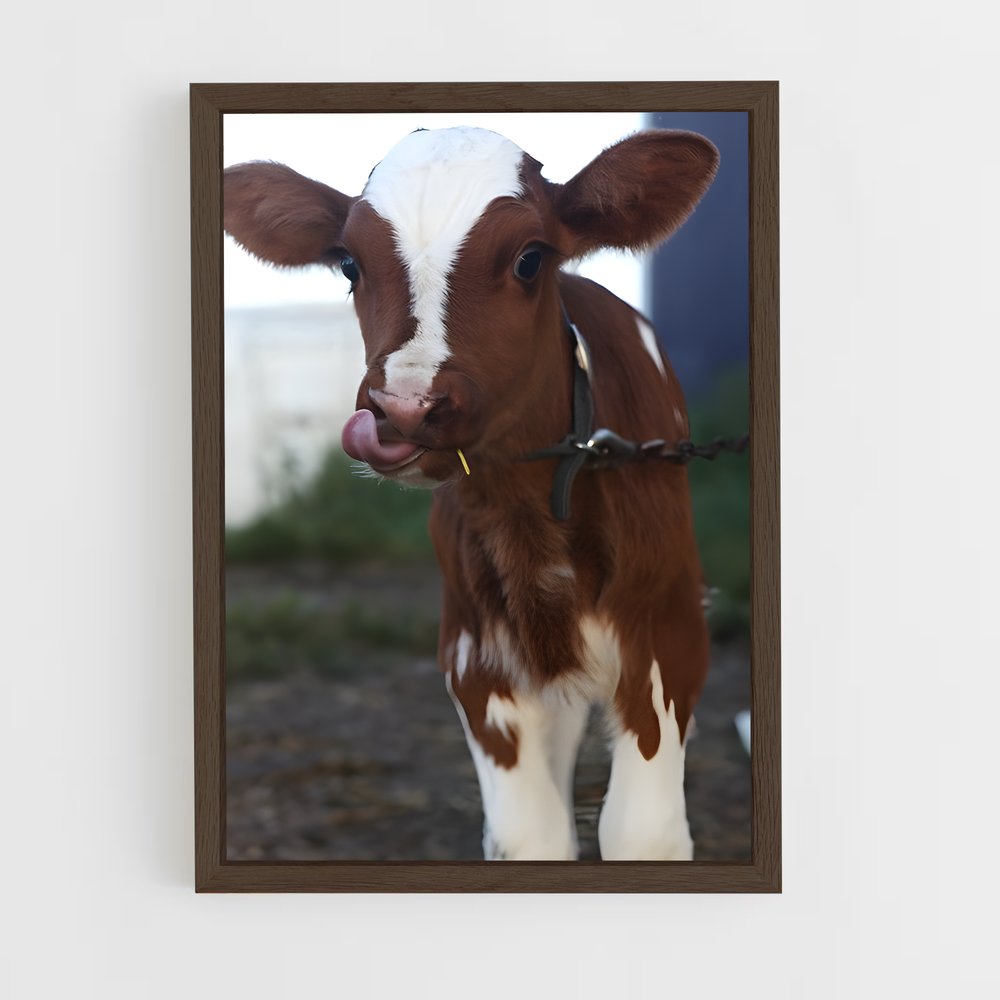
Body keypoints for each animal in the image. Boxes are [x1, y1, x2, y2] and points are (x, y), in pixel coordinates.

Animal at [223, 125, 719, 860]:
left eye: (530, 259)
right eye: (348, 264)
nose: (404, 409)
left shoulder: (669, 637)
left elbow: (643, 832)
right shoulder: (475, 663)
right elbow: (530, 836)